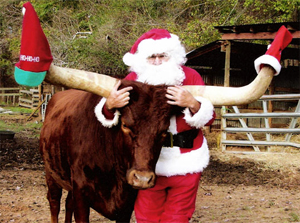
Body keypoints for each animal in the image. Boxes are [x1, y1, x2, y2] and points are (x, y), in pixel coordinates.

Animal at [38, 79, 182, 222]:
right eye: (125, 125)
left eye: (164, 131)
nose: (142, 179)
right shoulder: (80, 193)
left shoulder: (127, 205)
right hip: (51, 172)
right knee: (54, 202)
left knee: (68, 203)